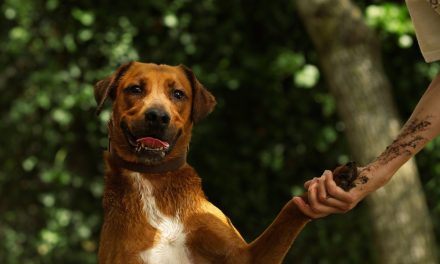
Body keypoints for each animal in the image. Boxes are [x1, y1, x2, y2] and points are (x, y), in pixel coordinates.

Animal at [95, 62, 312, 264]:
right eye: (136, 89)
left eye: (178, 94)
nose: (157, 116)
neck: (152, 177)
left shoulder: (246, 256)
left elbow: (289, 213)